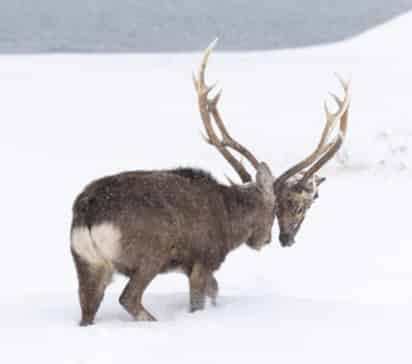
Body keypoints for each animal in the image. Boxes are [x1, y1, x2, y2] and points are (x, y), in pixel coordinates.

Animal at [69, 40, 350, 328]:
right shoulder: (204, 257)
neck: (229, 221)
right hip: (149, 254)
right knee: (128, 297)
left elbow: (215, 291)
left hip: (86, 262)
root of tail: (88, 215)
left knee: (87, 309)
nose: (272, 240)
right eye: (277, 208)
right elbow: (199, 300)